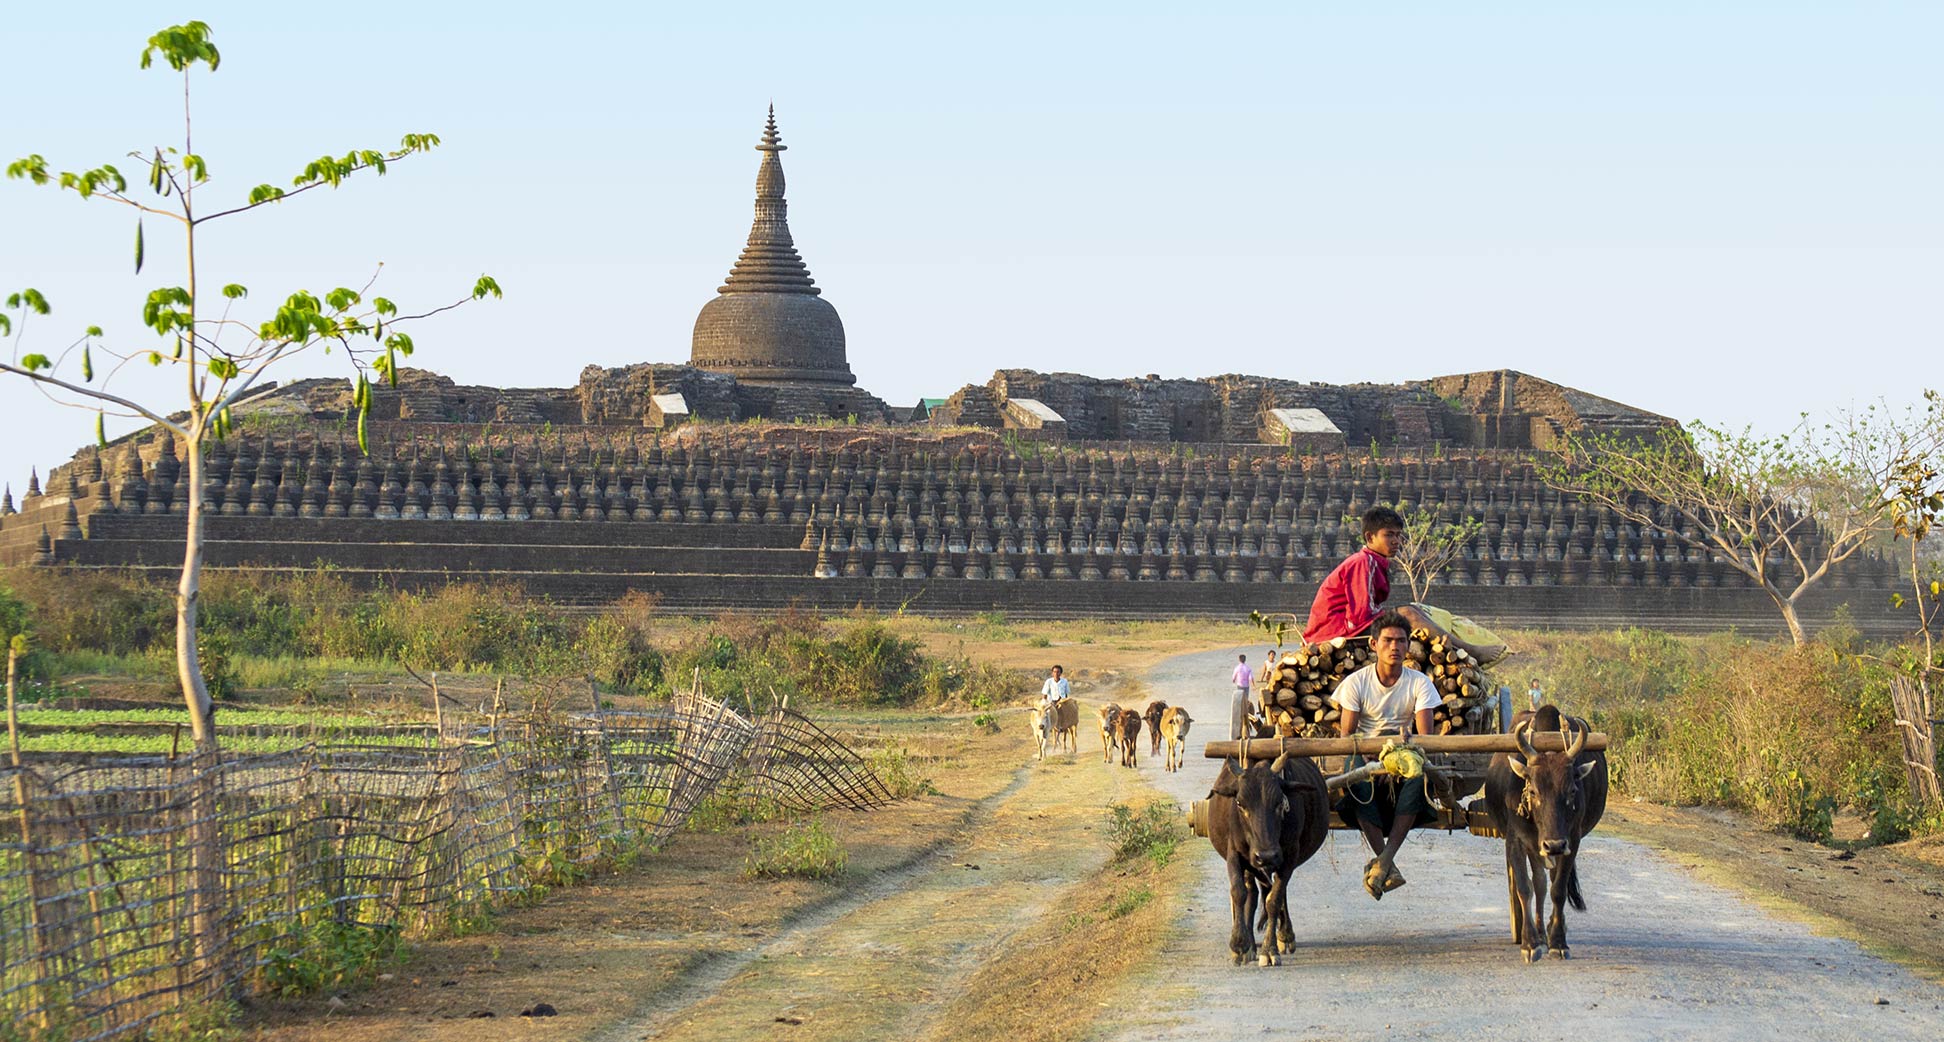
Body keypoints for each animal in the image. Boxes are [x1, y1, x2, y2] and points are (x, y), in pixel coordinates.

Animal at [1205, 754, 1329, 964]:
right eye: (1240, 803)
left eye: (1280, 803)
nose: (1266, 856)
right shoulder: (1234, 853)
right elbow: (1239, 892)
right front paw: (1239, 944)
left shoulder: (1288, 857)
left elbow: (1274, 900)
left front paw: (1269, 949)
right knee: (1252, 892)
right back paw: (1251, 943)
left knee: (1274, 892)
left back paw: (1285, 935)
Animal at [1485, 703, 1609, 964]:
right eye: (1532, 791)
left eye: (1572, 790)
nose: (1553, 845)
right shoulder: (1515, 840)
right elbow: (1525, 887)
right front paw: (1530, 943)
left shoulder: (1572, 841)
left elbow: (1558, 890)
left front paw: (1559, 942)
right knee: (1539, 883)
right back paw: (1539, 933)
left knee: (1548, 882)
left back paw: (1550, 930)